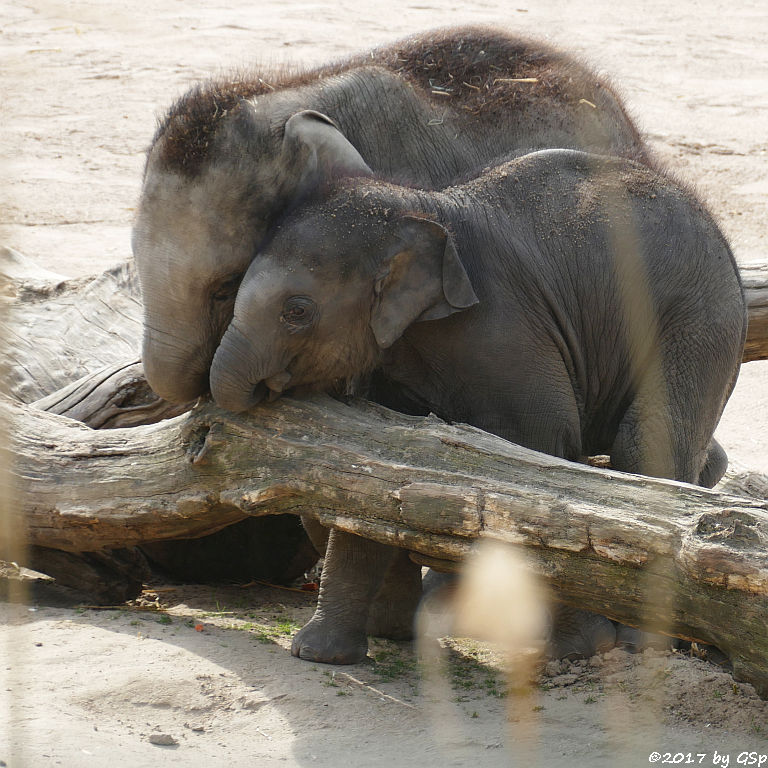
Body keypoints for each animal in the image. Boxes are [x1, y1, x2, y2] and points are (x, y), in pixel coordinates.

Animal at [208, 147, 744, 664]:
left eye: (297, 312)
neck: (419, 207)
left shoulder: (504, 331)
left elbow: (544, 445)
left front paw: (579, 651)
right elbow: (377, 469)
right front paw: (318, 655)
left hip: (697, 320)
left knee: (646, 440)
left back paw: (640, 643)